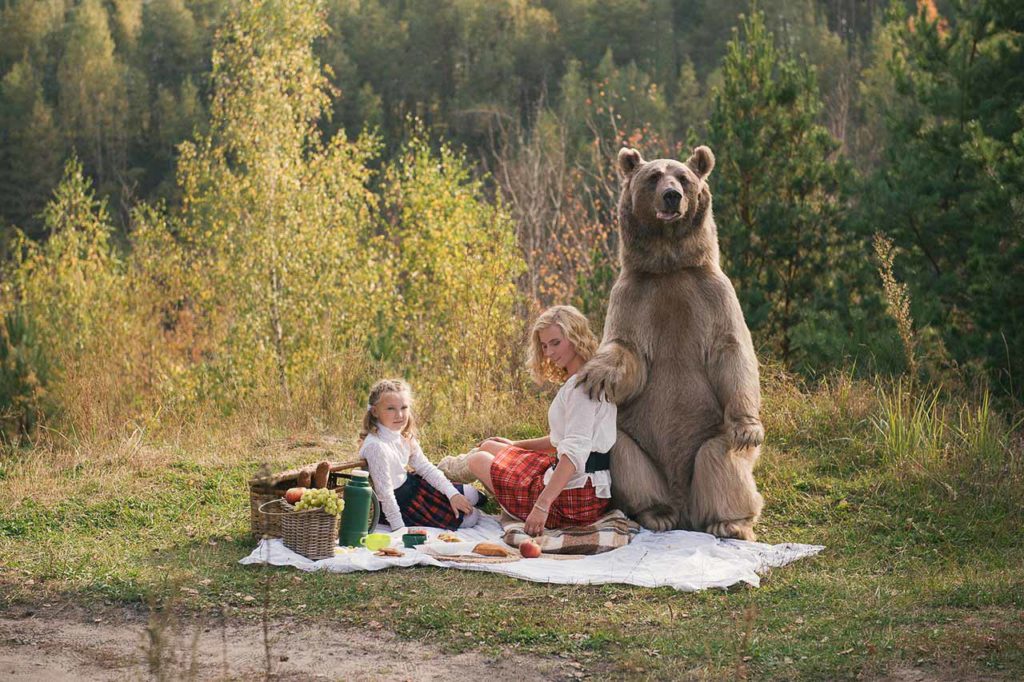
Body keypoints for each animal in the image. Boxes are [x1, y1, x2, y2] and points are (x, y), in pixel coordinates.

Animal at [577, 146, 761, 540]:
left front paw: (749, 428)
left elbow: (731, 350)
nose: (672, 196)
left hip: (711, 433)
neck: (669, 266)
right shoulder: (633, 297)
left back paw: (730, 522)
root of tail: (684, 510)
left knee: (721, 461)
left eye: (684, 177)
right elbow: (626, 349)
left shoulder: (713, 295)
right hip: (638, 443)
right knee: (624, 454)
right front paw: (596, 374)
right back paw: (655, 514)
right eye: (653, 177)